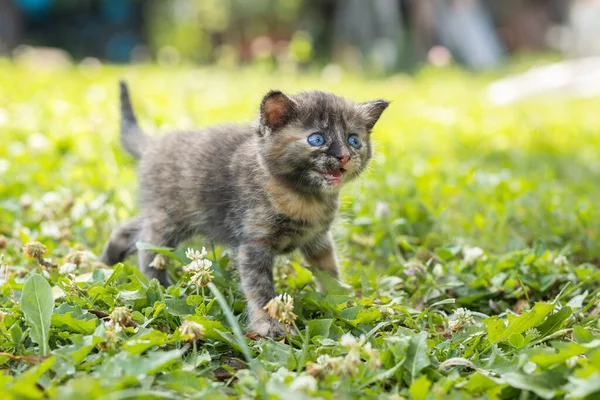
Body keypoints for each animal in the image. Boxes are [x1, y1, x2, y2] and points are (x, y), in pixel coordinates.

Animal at [101, 82, 392, 338]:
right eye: (316, 138)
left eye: (354, 140)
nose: (344, 155)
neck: (304, 198)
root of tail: (154, 143)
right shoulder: (255, 243)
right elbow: (260, 289)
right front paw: (269, 324)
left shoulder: (318, 239)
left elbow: (331, 271)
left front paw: (342, 299)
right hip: (169, 219)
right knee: (149, 247)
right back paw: (158, 284)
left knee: (129, 230)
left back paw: (105, 264)